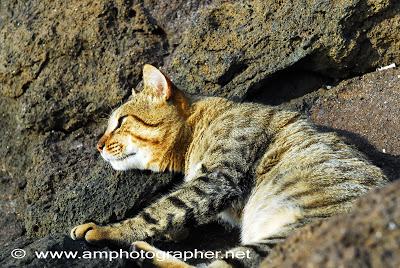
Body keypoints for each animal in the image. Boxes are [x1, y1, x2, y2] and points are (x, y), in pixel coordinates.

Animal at [70, 63, 386, 266]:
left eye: (120, 121)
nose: (98, 145)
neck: (199, 128)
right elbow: (175, 211)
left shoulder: (219, 178)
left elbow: (160, 211)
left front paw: (106, 230)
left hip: (284, 239)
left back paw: (145, 256)